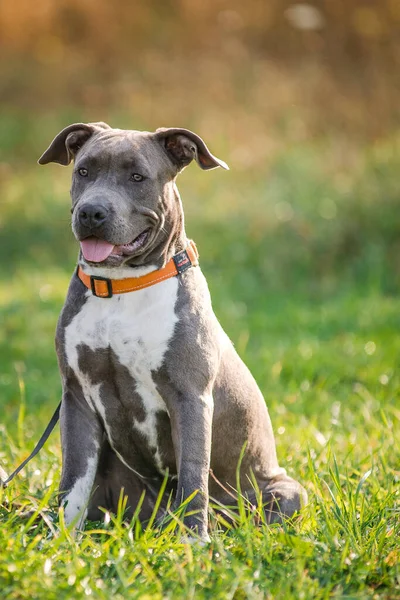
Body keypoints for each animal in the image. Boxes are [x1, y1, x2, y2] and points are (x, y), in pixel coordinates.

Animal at [37, 122, 306, 540]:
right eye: (83, 171)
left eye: (137, 177)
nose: (91, 211)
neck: (121, 288)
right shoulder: (77, 396)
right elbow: (72, 481)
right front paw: (62, 540)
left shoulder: (190, 396)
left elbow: (194, 474)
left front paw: (195, 542)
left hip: (285, 491)